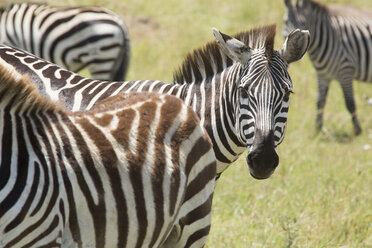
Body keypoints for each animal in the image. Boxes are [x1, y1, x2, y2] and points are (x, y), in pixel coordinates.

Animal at [282, 0, 372, 135]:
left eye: (303, 23)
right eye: (285, 21)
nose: (294, 44)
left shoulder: (346, 71)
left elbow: (350, 103)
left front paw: (357, 131)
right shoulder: (323, 75)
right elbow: (320, 102)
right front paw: (317, 129)